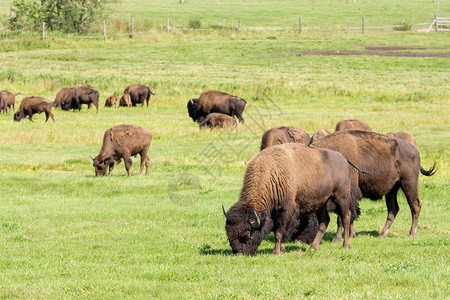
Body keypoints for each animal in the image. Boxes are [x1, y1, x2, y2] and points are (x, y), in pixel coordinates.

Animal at [223, 143, 360, 255]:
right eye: (228, 233)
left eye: (247, 234)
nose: (238, 253)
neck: (271, 173)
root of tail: (342, 158)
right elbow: (280, 231)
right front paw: (282, 249)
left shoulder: (286, 210)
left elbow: (279, 233)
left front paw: (276, 252)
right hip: (322, 202)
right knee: (324, 222)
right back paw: (312, 248)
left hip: (341, 197)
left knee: (346, 217)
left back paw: (345, 246)